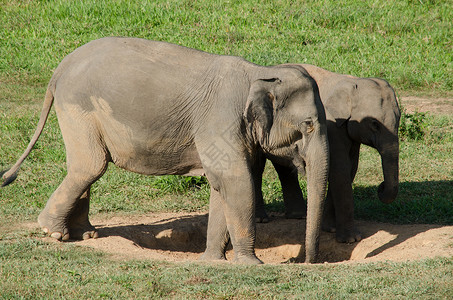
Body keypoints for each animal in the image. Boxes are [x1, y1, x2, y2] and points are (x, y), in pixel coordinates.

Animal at [0, 37, 328, 262]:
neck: (260, 72)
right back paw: (53, 232)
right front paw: (250, 263)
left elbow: (221, 185)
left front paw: (212, 260)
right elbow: (236, 180)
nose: (306, 261)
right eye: (308, 125)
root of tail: (61, 67)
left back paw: (85, 234)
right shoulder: (219, 118)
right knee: (91, 166)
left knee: (86, 166)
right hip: (78, 106)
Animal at [256, 63, 400, 244]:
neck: (351, 82)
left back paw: (299, 216)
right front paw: (351, 239)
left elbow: (350, 168)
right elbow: (340, 169)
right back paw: (261, 219)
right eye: (375, 124)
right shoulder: (330, 125)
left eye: (399, 120)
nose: (380, 187)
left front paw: (330, 229)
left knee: (284, 168)